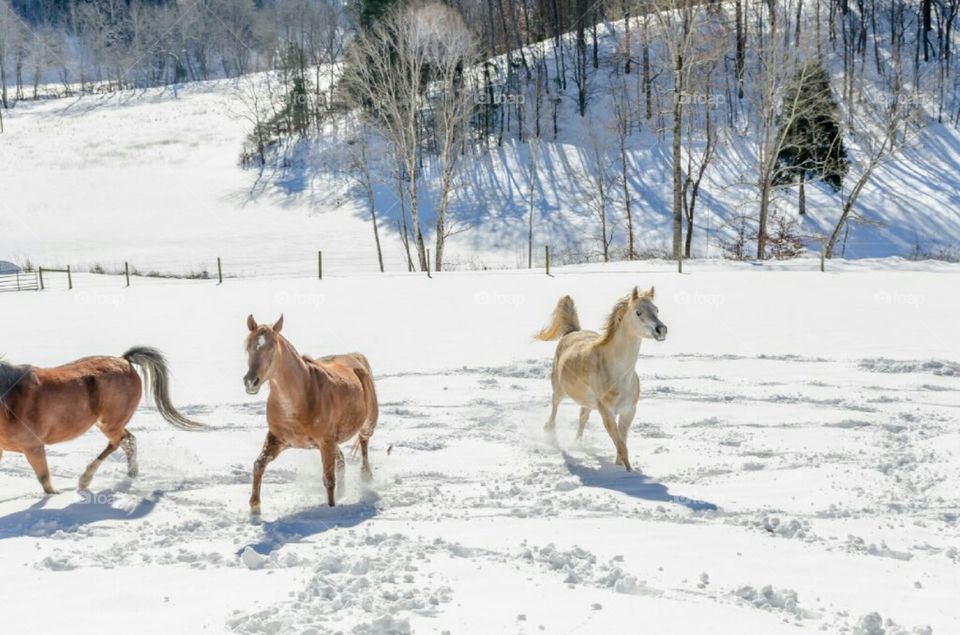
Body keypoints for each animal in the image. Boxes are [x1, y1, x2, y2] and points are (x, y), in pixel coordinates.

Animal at [0, 347, 203, 494]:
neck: (11, 400)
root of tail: (124, 360)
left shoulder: (33, 447)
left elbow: (45, 480)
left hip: (110, 423)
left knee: (119, 442)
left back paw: (85, 480)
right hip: (112, 423)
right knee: (129, 440)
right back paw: (131, 474)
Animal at [243, 315, 379, 513]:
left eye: (272, 347)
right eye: (248, 347)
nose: (251, 381)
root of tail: (354, 357)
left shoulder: (326, 442)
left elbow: (329, 480)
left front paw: (331, 509)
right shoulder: (278, 439)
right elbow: (258, 465)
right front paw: (255, 509)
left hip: (368, 423)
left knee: (363, 441)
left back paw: (366, 477)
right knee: (341, 460)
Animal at [536, 286, 667, 471]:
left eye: (656, 310)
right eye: (638, 312)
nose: (661, 329)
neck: (619, 375)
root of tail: (572, 332)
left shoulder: (629, 411)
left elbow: (622, 442)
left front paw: (619, 467)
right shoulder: (607, 412)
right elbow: (621, 446)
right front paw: (629, 473)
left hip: (587, 402)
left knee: (582, 418)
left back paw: (578, 444)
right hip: (559, 390)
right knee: (554, 408)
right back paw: (550, 433)